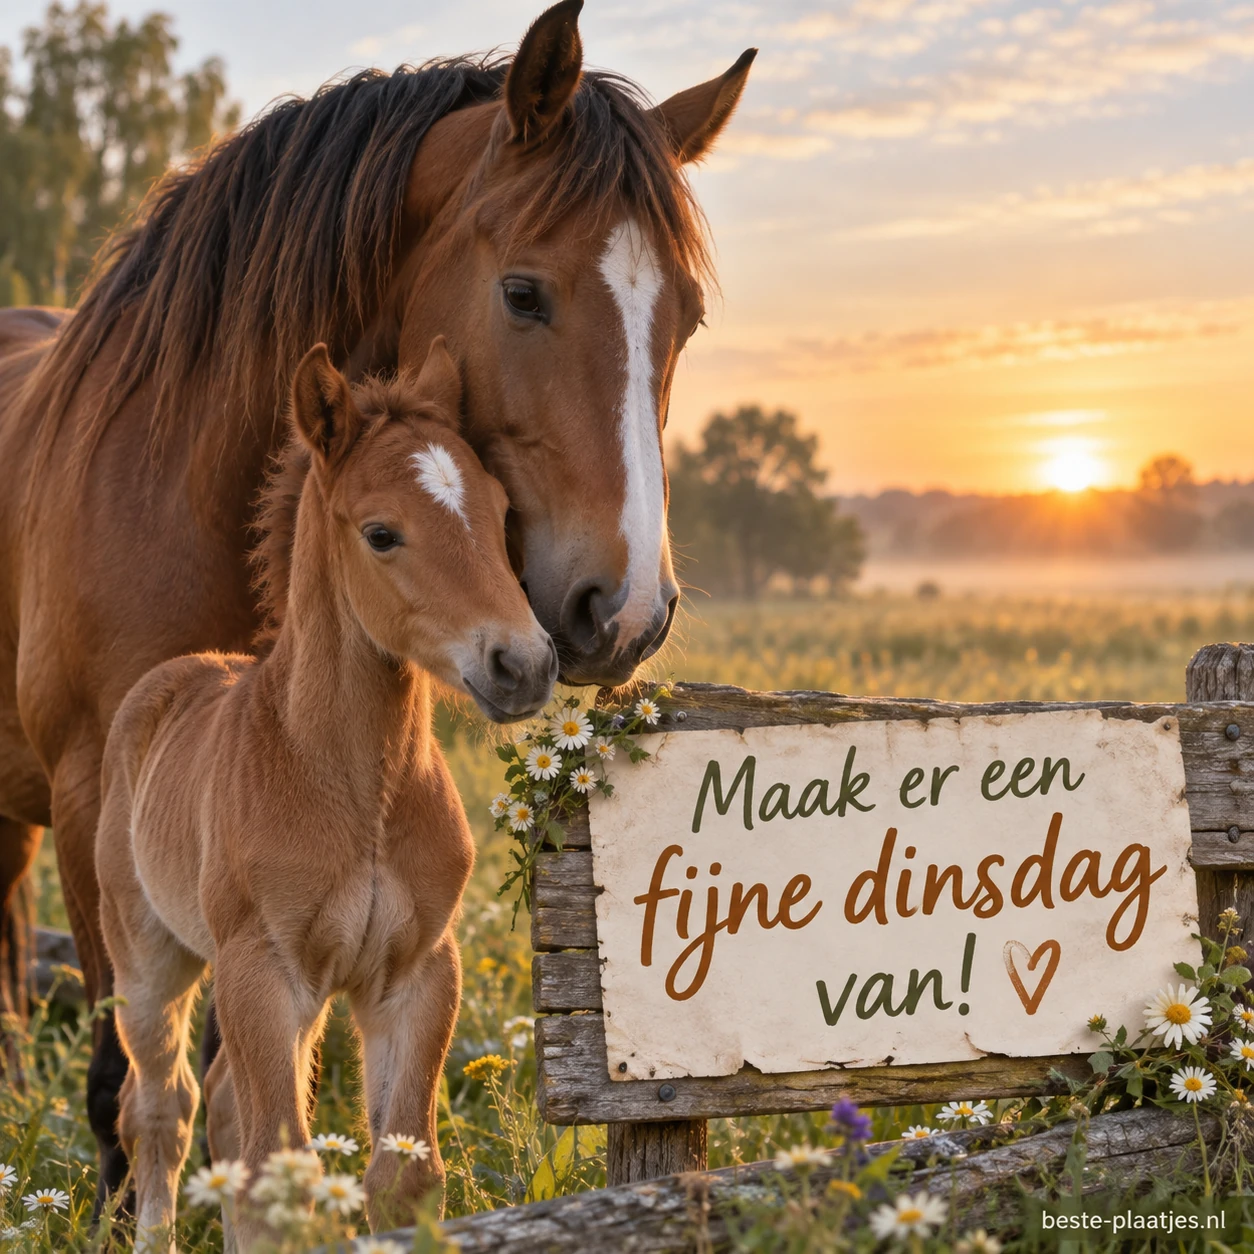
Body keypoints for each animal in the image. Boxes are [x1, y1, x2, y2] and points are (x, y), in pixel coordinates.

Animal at [97, 337, 553, 1249]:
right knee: (162, 1110)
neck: (356, 789)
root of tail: (169, 678)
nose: (523, 664)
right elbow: (278, 1168)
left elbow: (402, 1173)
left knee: (223, 1110)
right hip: (149, 960)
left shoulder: (416, 974)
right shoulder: (264, 971)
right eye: (382, 533)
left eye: (498, 512)